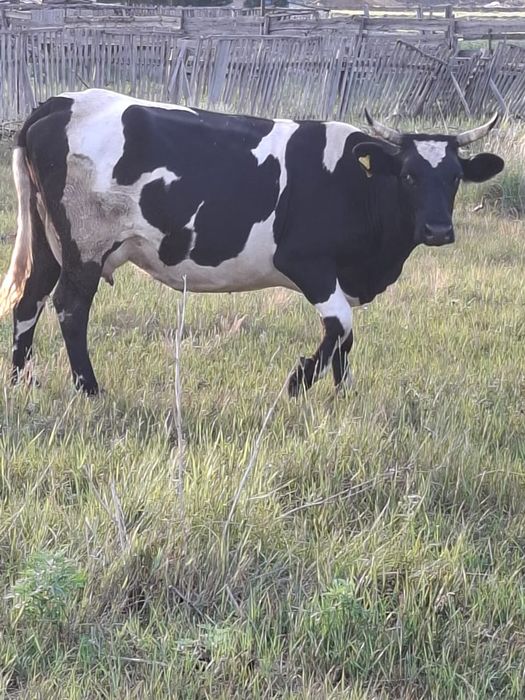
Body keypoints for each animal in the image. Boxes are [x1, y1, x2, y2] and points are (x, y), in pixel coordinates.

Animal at [0, 89, 503, 396]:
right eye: (409, 176)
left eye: (455, 178)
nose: (438, 230)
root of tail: (62, 102)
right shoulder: (309, 264)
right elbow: (340, 327)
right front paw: (298, 381)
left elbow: (346, 341)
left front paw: (343, 394)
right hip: (85, 244)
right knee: (69, 307)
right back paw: (89, 388)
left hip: (49, 240)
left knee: (29, 300)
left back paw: (21, 381)